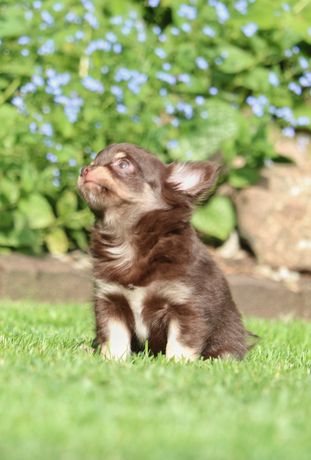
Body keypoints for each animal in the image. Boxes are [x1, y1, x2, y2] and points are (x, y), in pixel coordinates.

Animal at [78, 142, 256, 362]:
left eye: (123, 164)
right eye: (94, 162)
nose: (84, 169)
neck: (126, 241)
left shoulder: (186, 305)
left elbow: (180, 342)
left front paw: (176, 364)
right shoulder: (111, 301)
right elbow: (115, 338)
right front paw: (113, 360)